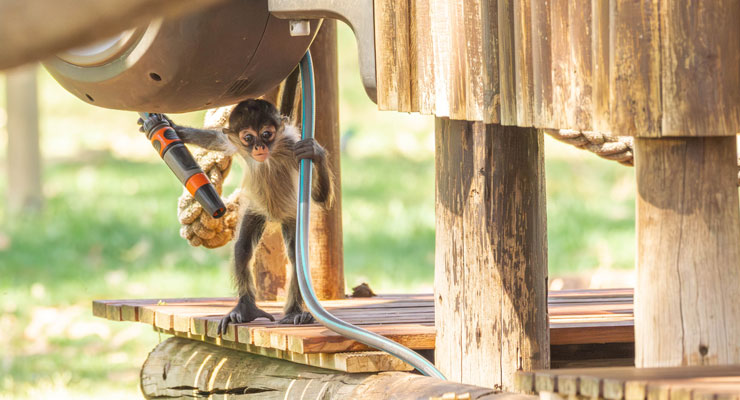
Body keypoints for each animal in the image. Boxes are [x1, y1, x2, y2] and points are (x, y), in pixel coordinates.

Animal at [141, 99, 334, 333]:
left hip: (291, 216)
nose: (259, 147)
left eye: (267, 134)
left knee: (295, 255)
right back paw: (245, 309)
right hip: (256, 210)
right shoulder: (236, 144)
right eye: (248, 138)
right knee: (242, 248)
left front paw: (315, 152)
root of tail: (274, 217)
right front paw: (168, 125)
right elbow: (216, 139)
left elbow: (320, 199)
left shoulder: (291, 145)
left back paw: (294, 312)